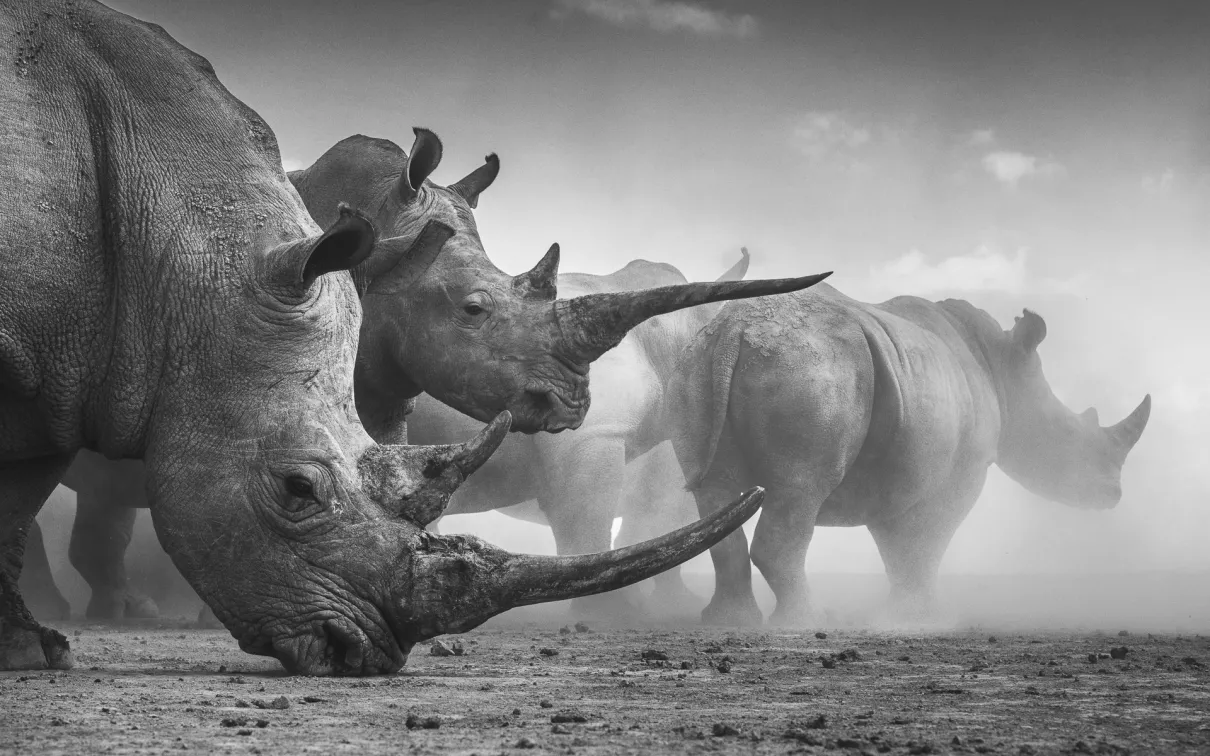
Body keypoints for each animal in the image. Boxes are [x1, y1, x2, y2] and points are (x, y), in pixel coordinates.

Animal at [665, 285, 1151, 626]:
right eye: (1071, 434)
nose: (1113, 494)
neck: (1003, 370)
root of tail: (733, 332)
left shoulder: (900, 469)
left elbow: (898, 547)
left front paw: (903, 615)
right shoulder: (962, 473)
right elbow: (925, 543)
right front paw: (928, 620)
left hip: (698, 369)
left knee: (716, 497)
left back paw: (729, 623)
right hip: (811, 369)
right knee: (801, 488)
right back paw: (806, 623)